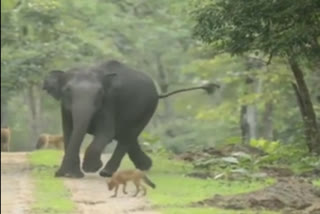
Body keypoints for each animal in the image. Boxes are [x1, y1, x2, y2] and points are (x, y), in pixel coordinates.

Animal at [43, 59, 220, 178]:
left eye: (100, 93)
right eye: (67, 91)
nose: (58, 174)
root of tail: (158, 93)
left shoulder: (109, 103)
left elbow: (105, 133)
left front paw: (91, 168)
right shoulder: (64, 108)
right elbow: (69, 132)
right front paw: (71, 175)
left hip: (147, 107)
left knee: (127, 136)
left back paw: (106, 172)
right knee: (127, 136)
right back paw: (145, 166)